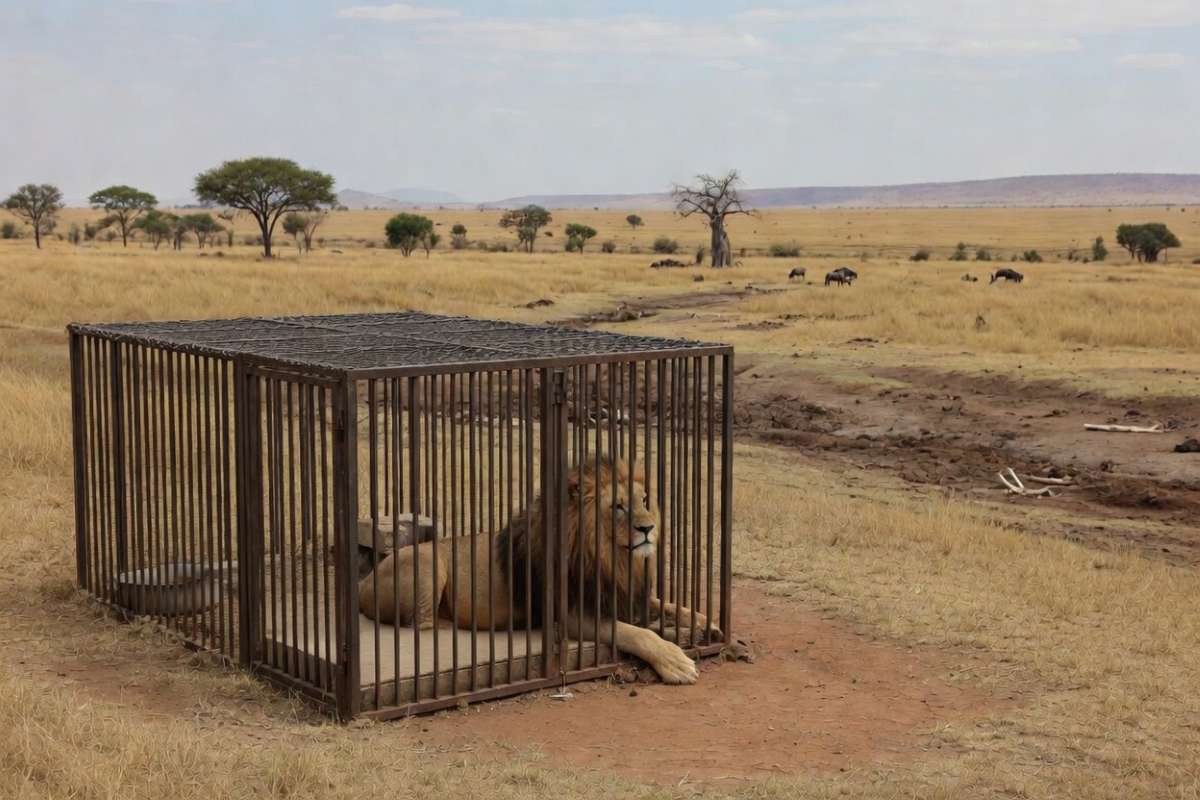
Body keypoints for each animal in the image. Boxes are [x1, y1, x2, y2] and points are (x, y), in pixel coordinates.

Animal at [357, 457, 716, 685]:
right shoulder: (573, 615)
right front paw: (676, 662)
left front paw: (706, 623)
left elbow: (672, 606)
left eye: (644, 501)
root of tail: (363, 583)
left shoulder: (628, 594)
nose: (649, 528)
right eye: (618, 506)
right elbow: (637, 633)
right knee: (421, 625)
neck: (614, 559)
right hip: (427, 561)